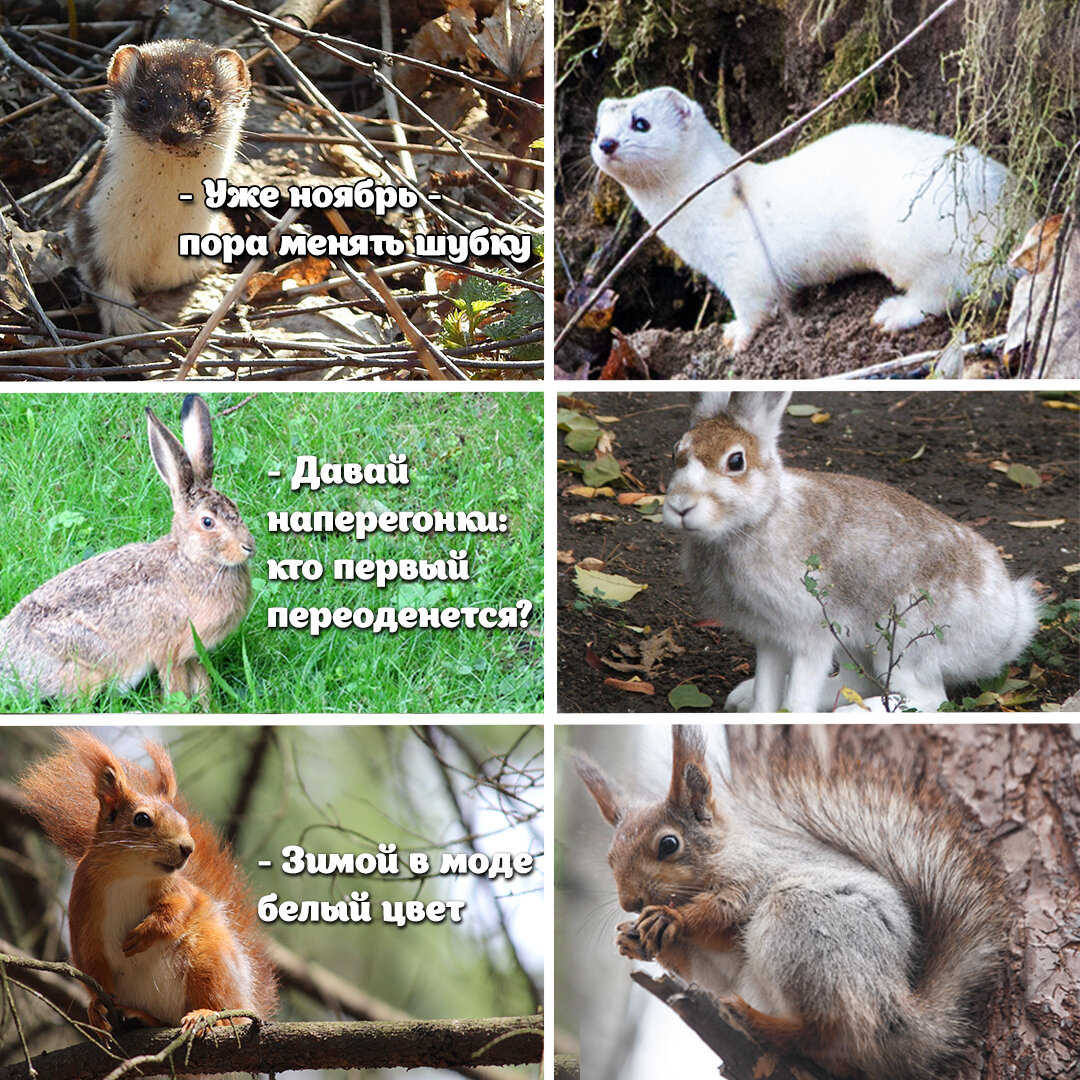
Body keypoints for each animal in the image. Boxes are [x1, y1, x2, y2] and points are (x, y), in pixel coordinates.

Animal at [19, 730, 276, 1032]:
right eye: (141, 819)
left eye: (183, 819)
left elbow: (181, 907)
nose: (188, 847)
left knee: (217, 1004)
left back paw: (204, 1015)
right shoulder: (83, 902)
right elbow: (89, 960)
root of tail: (245, 1001)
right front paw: (96, 1007)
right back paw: (138, 1016)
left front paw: (146, 933)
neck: (129, 876)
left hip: (207, 959)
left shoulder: (181, 890)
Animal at [578, 725, 1006, 1080]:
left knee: (828, 1030)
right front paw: (630, 938)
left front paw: (670, 919)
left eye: (669, 844)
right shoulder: (717, 964)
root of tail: (902, 1014)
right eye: (610, 859)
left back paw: (756, 1022)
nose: (630, 902)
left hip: (805, 929)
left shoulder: (753, 879)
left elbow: (722, 912)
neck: (726, 852)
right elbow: (708, 972)